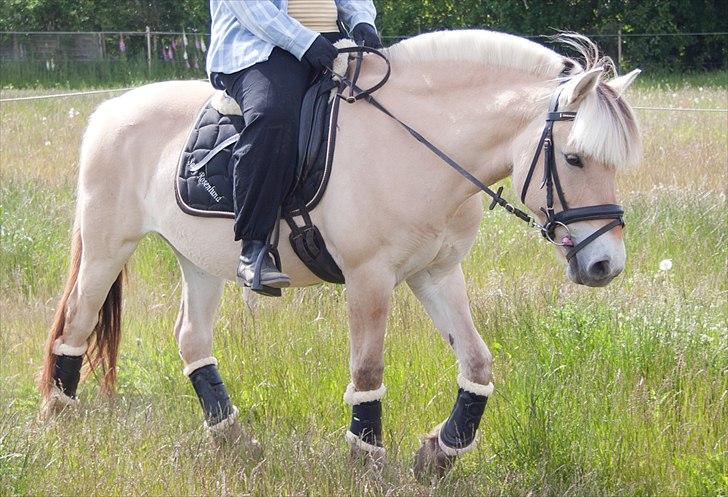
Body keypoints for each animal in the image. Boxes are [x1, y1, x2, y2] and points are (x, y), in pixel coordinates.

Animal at [38, 30, 641, 478]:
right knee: (76, 322)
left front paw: (438, 453)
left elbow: (477, 362)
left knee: (191, 339)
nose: (605, 264)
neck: (416, 146)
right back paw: (60, 421)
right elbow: (368, 370)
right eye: (575, 158)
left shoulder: (437, 274)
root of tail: (109, 111)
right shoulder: (368, 278)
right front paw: (366, 459)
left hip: (199, 262)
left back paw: (233, 440)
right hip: (107, 247)